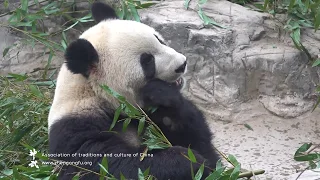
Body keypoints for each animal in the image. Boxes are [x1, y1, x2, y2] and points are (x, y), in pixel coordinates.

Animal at [48, 2, 220, 179]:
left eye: (159, 40)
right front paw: (189, 161)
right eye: (147, 61)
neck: (94, 93)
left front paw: (162, 96)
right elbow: (110, 165)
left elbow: (202, 143)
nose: (182, 64)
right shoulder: (75, 130)